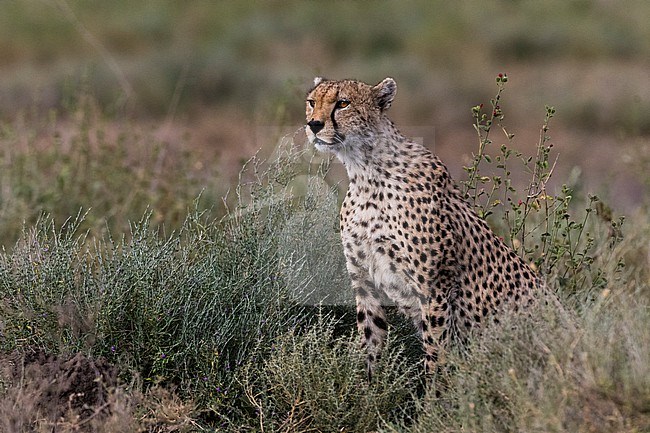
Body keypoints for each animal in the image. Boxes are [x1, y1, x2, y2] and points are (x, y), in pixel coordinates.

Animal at [306, 77, 540, 378]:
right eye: (312, 102)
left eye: (343, 103)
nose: (313, 124)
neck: (365, 171)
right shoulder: (364, 281)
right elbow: (371, 342)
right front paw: (370, 387)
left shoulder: (435, 288)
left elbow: (435, 354)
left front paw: (433, 391)